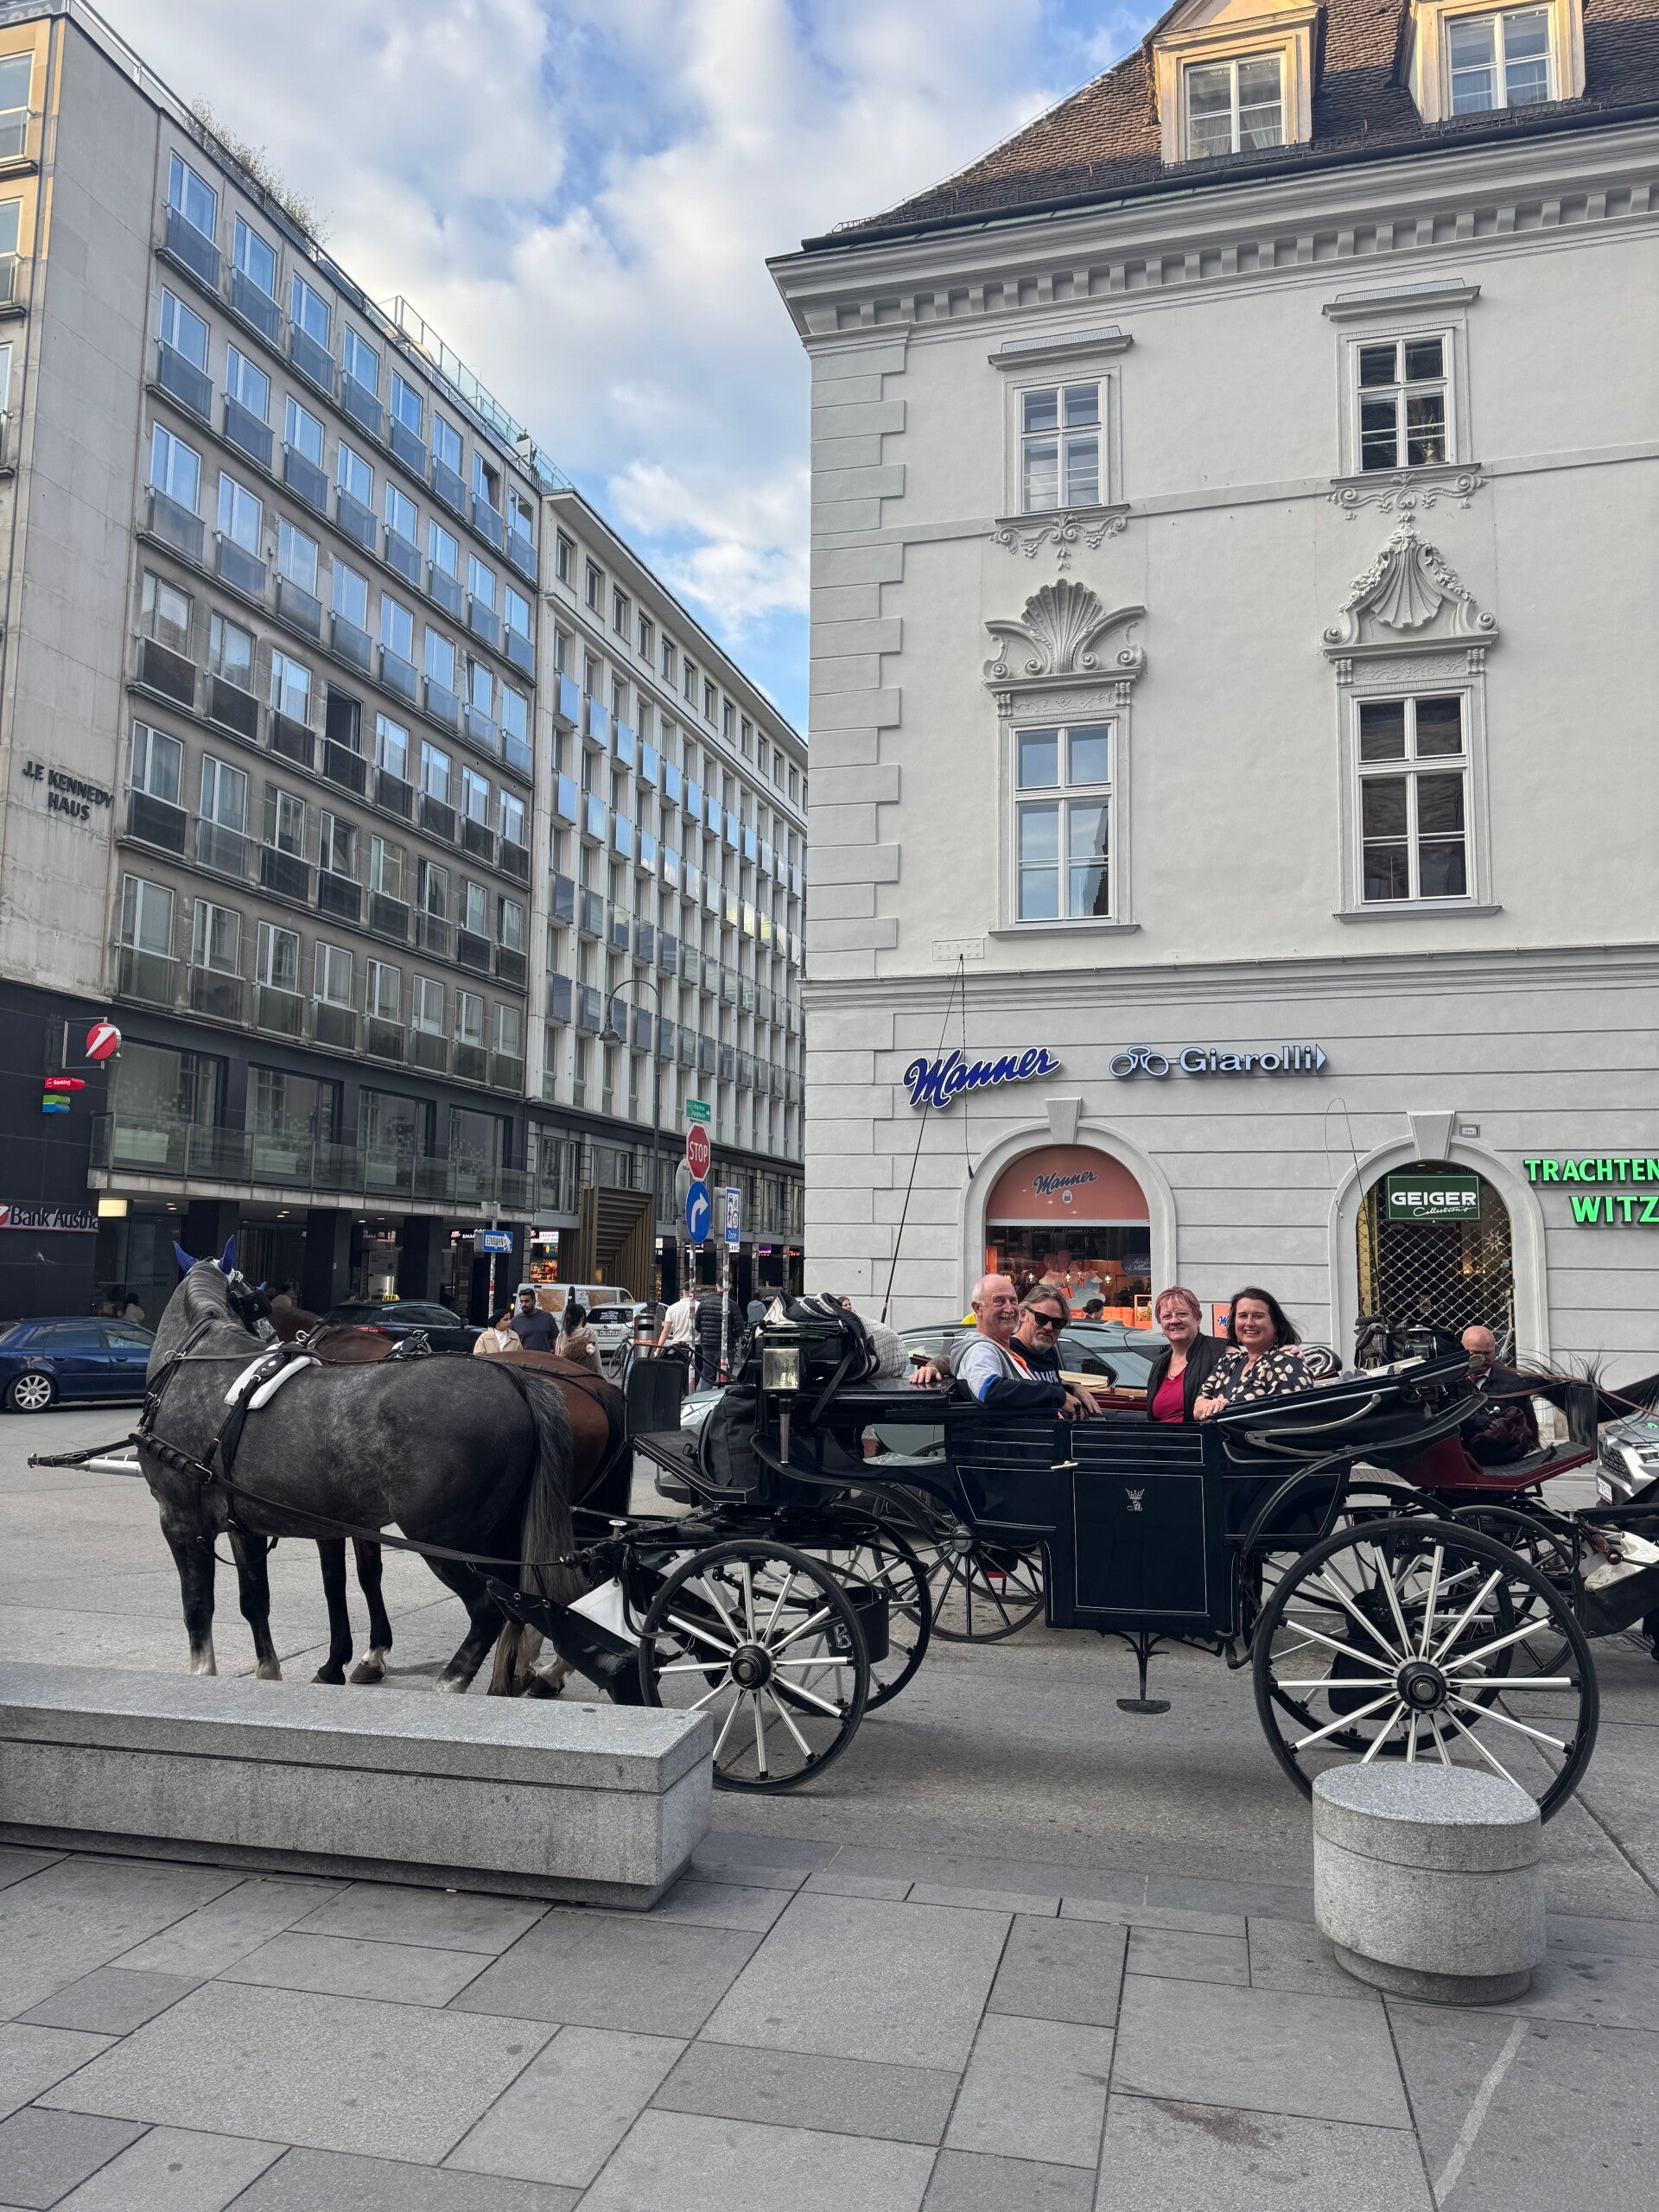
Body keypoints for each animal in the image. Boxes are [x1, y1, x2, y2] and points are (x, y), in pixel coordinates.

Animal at [139, 1245, 594, 1694]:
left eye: (259, 1301)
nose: (272, 1338)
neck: (198, 1360)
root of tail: (515, 1379)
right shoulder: (244, 1526)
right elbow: (256, 1602)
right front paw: (270, 1673)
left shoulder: (180, 1520)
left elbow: (199, 1607)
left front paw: (204, 1673)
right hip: (501, 1532)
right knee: (522, 1602)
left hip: (443, 1537)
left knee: (488, 1609)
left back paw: (452, 1682)